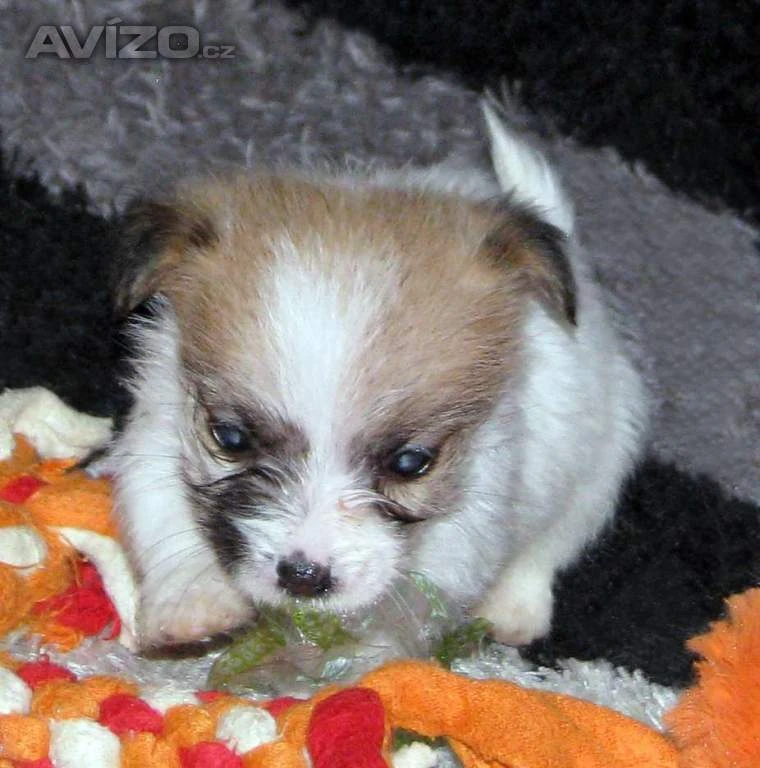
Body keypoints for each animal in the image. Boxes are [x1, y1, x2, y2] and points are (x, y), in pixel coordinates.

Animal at [107, 106, 646, 649]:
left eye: (410, 463)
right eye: (231, 438)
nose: (303, 577)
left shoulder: (469, 526)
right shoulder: (156, 430)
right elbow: (164, 513)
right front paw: (195, 603)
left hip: (598, 473)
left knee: (547, 548)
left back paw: (513, 609)